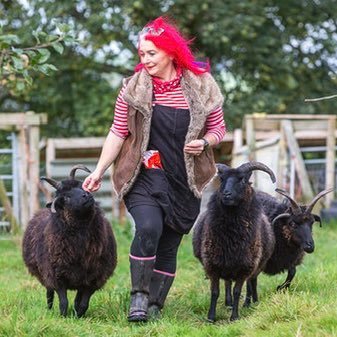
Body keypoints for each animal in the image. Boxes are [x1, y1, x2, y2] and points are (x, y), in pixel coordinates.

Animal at [22, 164, 117, 316]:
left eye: (81, 185)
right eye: (66, 197)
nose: (86, 195)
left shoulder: (94, 277)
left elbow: (83, 303)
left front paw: (78, 315)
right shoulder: (56, 275)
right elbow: (63, 301)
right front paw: (63, 316)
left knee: (78, 297)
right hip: (45, 273)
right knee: (49, 293)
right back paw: (49, 309)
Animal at [192, 161, 276, 320]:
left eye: (242, 180)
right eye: (222, 179)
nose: (226, 194)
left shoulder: (245, 266)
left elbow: (238, 291)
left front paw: (235, 316)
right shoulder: (212, 264)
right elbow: (215, 292)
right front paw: (211, 317)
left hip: (255, 265)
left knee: (252, 281)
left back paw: (252, 302)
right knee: (227, 282)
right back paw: (229, 303)